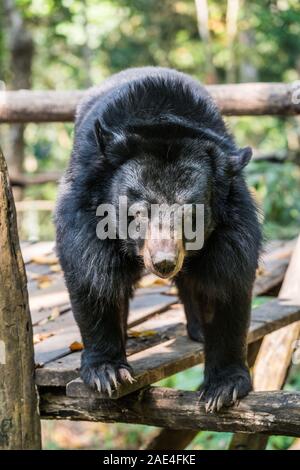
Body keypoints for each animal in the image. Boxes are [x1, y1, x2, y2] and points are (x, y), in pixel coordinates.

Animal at [55, 66, 262, 412]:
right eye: (138, 213)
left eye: (191, 216)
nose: (164, 262)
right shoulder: (84, 208)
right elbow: (91, 274)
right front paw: (107, 372)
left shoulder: (232, 229)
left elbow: (226, 285)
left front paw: (224, 387)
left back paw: (198, 331)